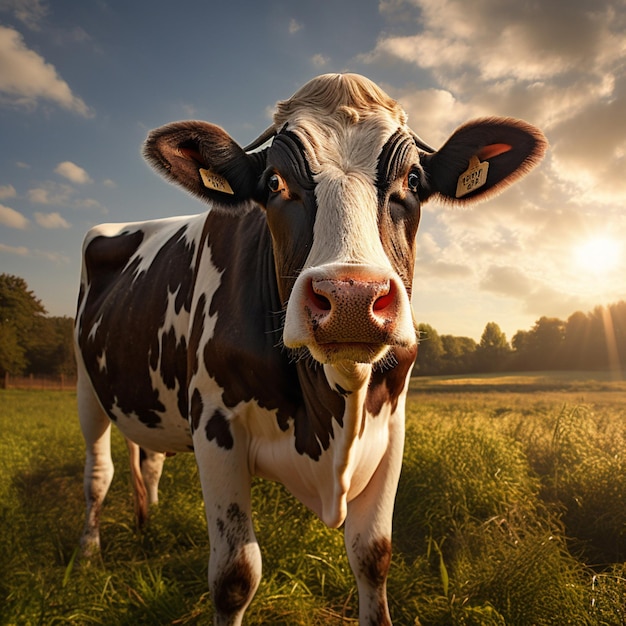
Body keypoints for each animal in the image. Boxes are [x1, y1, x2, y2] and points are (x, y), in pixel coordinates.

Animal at [73, 72, 544, 620]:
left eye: (413, 181)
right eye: (275, 183)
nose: (351, 298)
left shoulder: (392, 428)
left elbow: (373, 556)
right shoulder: (214, 424)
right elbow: (235, 575)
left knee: (148, 458)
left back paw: (147, 526)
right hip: (86, 386)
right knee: (98, 472)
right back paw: (88, 554)